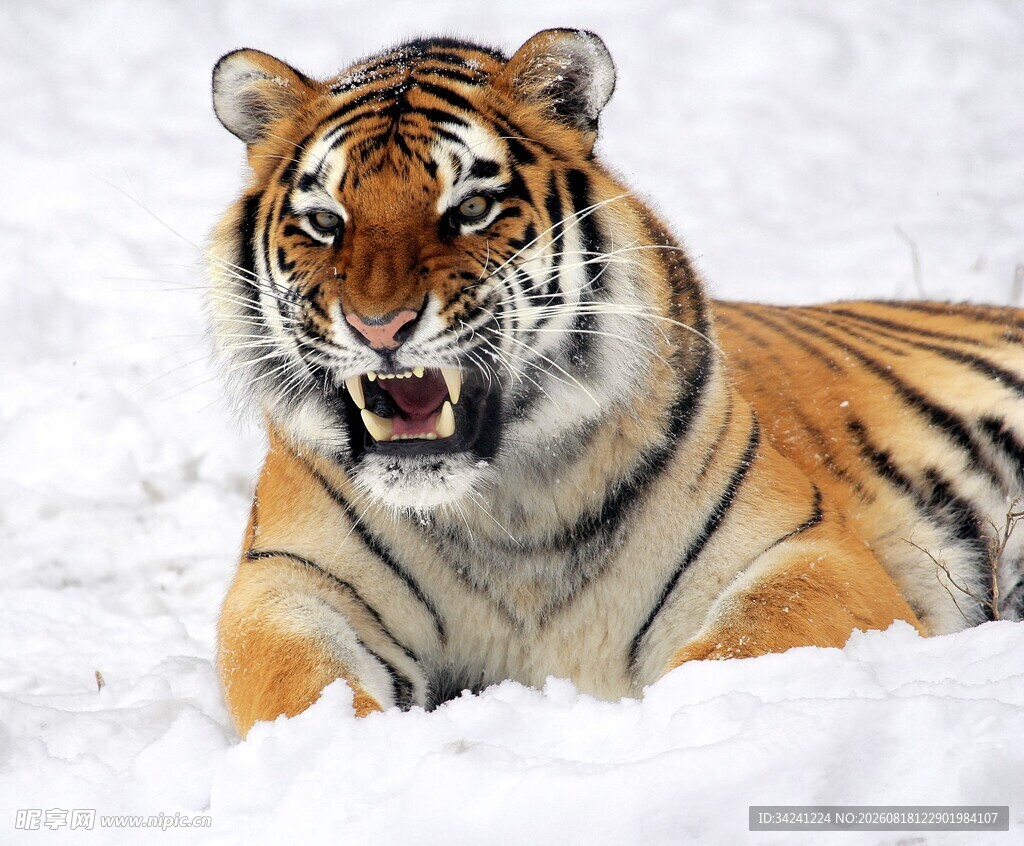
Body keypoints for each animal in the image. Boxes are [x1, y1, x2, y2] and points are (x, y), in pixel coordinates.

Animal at [207, 29, 1024, 736]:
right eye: (326, 221)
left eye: (471, 208)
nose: (379, 327)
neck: (505, 510)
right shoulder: (287, 582)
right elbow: (299, 685)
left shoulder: (807, 550)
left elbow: (741, 646)